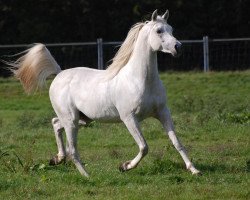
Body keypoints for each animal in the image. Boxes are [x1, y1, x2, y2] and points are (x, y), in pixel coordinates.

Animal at [7, 9, 200, 177]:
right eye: (159, 30)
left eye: (171, 29)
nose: (178, 47)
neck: (139, 80)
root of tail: (60, 73)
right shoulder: (129, 118)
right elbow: (144, 147)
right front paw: (124, 166)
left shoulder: (162, 113)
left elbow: (177, 142)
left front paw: (194, 170)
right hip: (71, 120)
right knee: (73, 149)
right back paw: (87, 176)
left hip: (82, 119)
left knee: (56, 124)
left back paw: (57, 159)